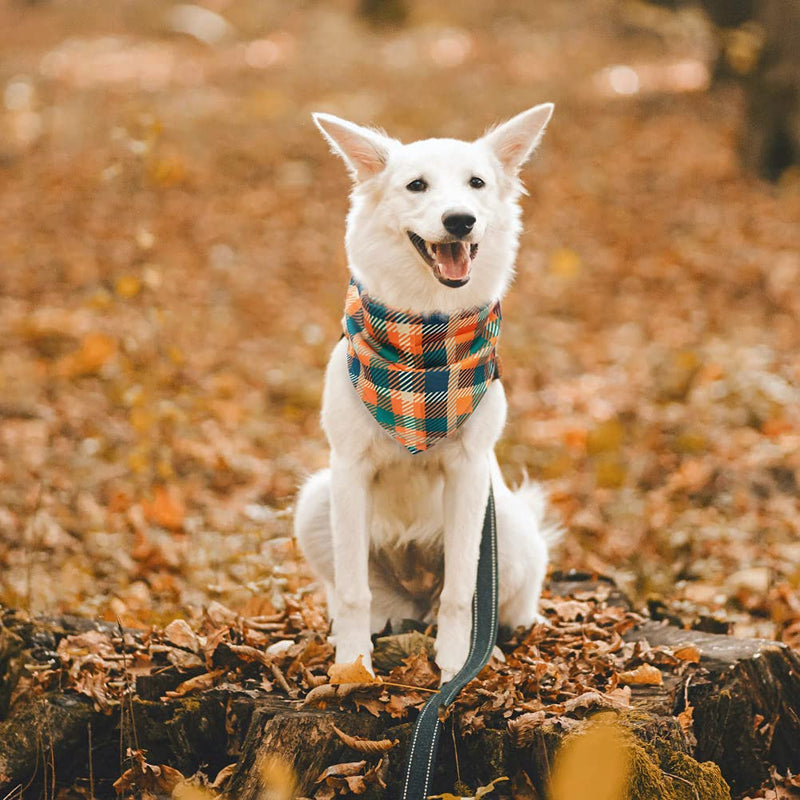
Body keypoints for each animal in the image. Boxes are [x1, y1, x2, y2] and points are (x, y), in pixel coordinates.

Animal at [292, 104, 556, 680]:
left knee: (489, 605)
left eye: (477, 183)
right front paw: (351, 666)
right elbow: (353, 591)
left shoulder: (469, 473)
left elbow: (461, 593)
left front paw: (458, 663)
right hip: (316, 500)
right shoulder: (348, 470)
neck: (426, 336)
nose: (460, 220)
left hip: (506, 526)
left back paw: (493, 643)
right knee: (375, 599)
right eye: (417, 185)